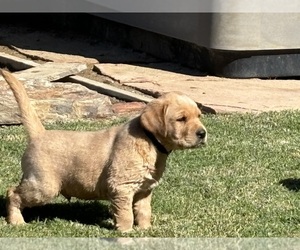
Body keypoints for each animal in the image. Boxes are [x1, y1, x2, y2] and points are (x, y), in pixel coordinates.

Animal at [0, 69, 206, 232]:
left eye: (199, 116)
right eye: (181, 119)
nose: (203, 133)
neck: (150, 142)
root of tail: (39, 134)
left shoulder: (144, 190)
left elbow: (143, 211)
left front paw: (145, 229)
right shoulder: (122, 187)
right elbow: (126, 213)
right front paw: (125, 232)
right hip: (44, 185)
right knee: (12, 193)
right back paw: (16, 221)